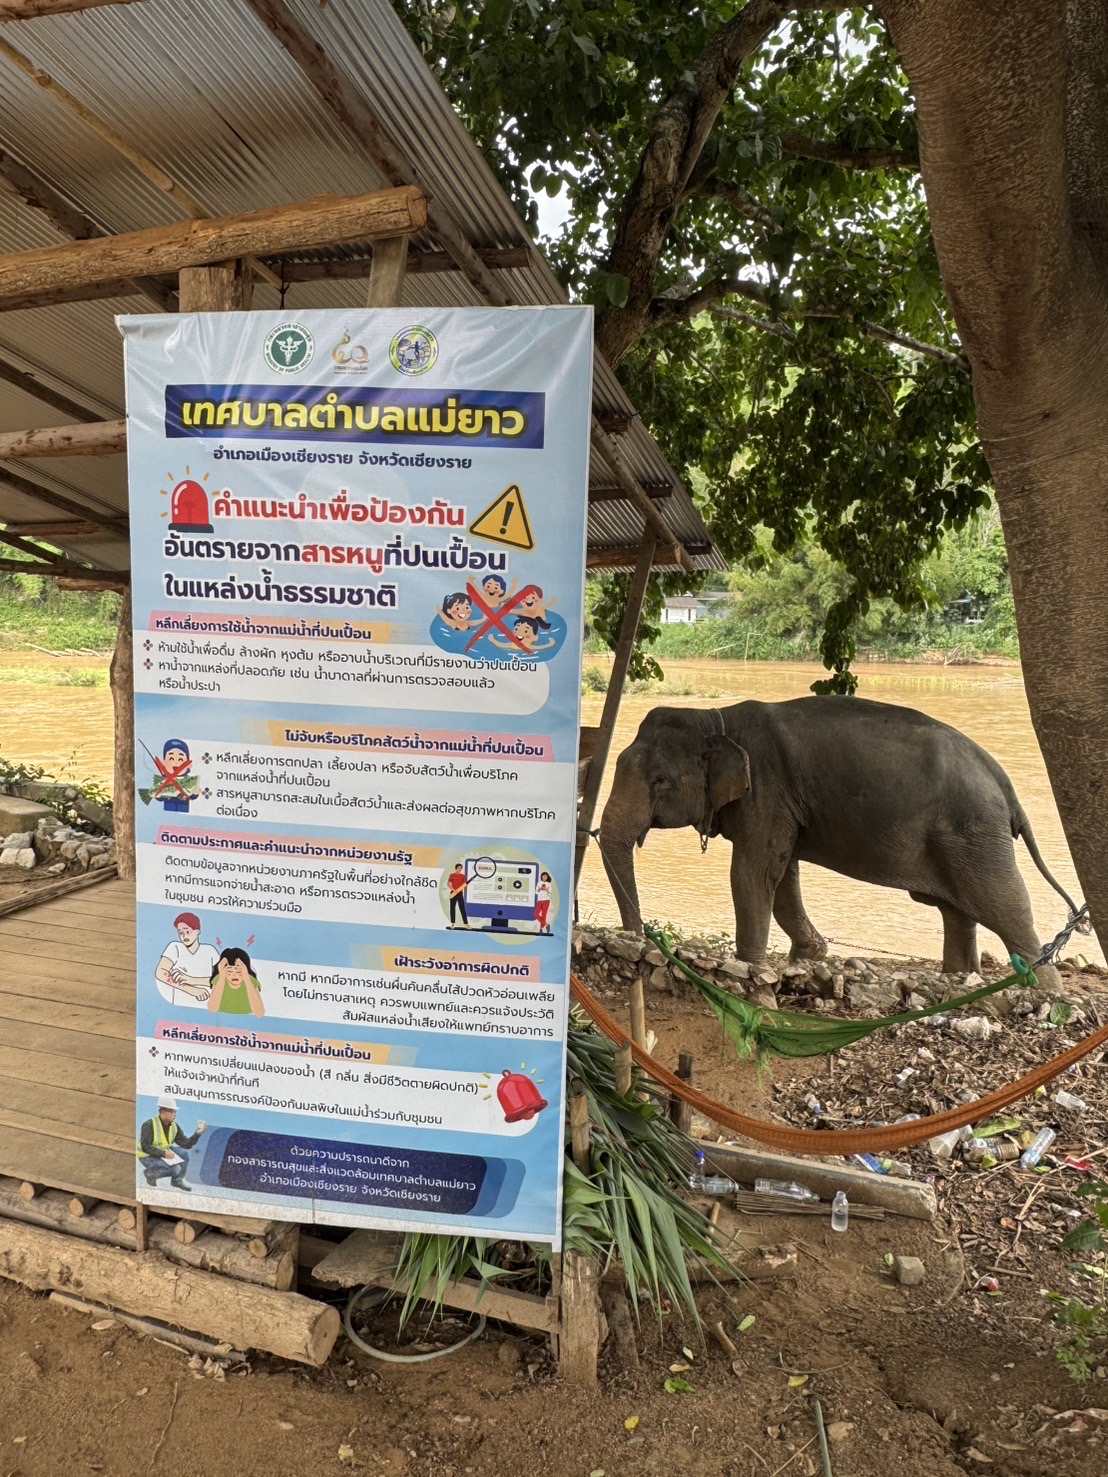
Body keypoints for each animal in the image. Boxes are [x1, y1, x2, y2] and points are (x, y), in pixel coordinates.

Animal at [598, 696, 1080, 987]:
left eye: (660, 781)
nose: (640, 938)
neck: (716, 716)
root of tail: (1003, 781)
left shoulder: (768, 794)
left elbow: (752, 873)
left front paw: (751, 966)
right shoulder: (784, 807)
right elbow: (782, 876)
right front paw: (810, 956)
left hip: (974, 831)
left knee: (1003, 902)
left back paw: (1043, 989)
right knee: (957, 911)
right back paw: (959, 978)